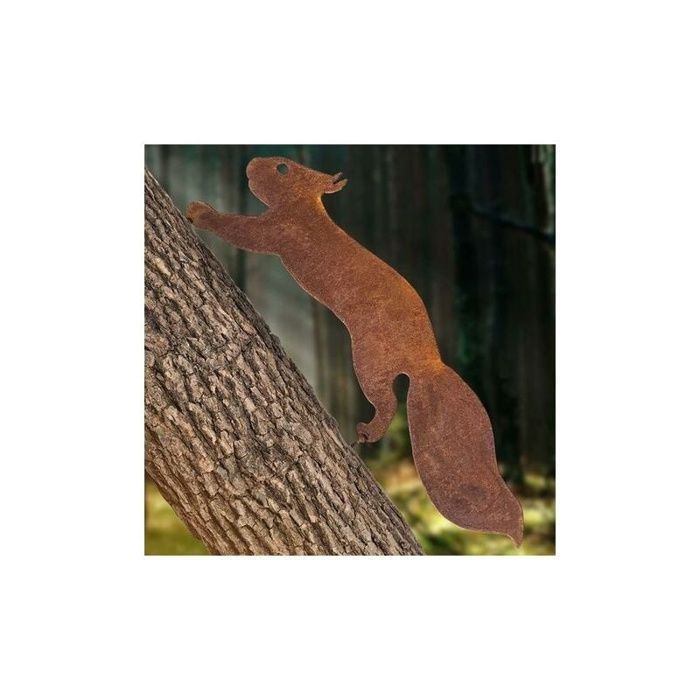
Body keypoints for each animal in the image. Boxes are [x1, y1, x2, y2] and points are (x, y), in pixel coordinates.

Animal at [186, 156, 523, 544]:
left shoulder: (280, 229)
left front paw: (199, 211)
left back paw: (366, 431)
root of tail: (428, 363)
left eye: (283, 167)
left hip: (369, 361)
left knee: (388, 401)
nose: (252, 163)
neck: (309, 208)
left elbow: (242, 231)